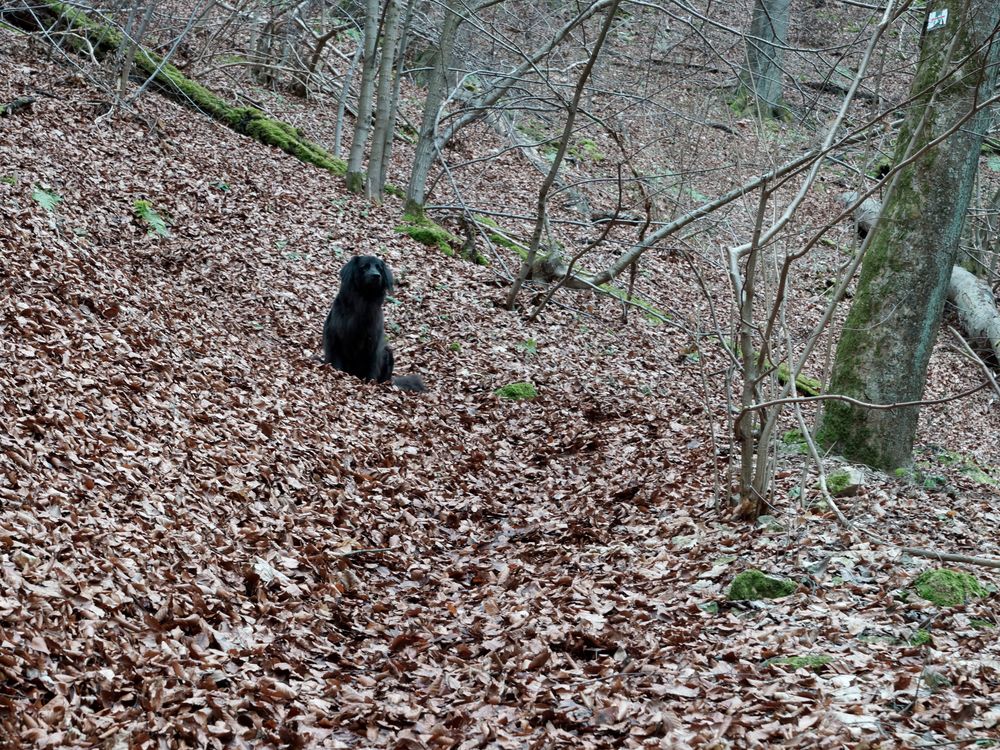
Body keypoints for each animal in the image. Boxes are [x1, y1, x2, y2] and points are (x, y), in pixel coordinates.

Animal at [324, 256, 426, 394]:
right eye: (364, 267)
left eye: (379, 268)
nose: (376, 276)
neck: (363, 300)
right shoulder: (335, 337)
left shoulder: (373, 343)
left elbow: (371, 365)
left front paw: (369, 383)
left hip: (388, 352)